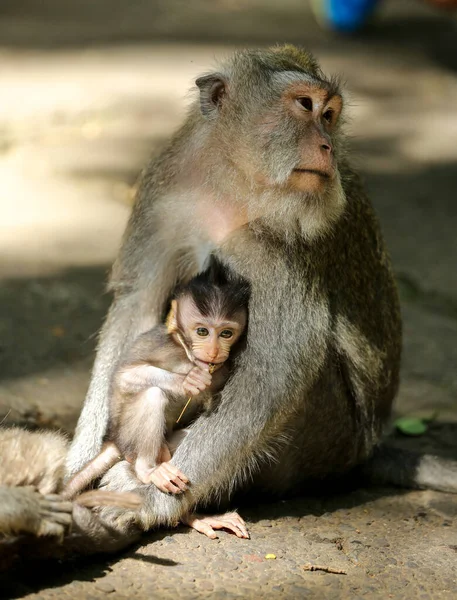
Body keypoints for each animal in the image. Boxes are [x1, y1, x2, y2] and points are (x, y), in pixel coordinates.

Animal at [63, 270, 248, 500]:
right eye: (202, 332)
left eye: (226, 333)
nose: (213, 351)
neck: (186, 354)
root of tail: (114, 439)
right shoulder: (164, 348)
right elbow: (124, 376)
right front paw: (189, 380)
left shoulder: (223, 369)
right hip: (127, 433)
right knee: (152, 395)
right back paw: (148, 470)